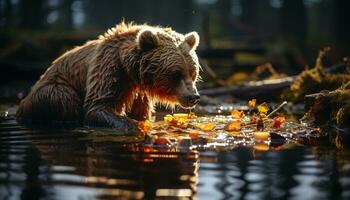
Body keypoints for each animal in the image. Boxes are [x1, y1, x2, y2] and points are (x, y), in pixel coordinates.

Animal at [16, 22, 201, 133]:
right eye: (176, 74)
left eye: (193, 72)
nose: (193, 96)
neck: (130, 71)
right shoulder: (109, 69)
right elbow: (98, 106)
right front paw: (134, 126)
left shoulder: (138, 93)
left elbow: (141, 112)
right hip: (53, 89)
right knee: (63, 98)